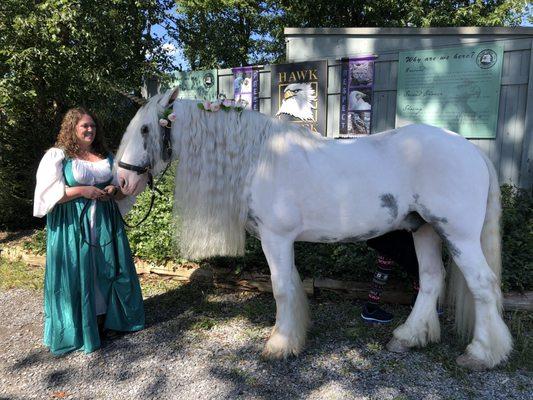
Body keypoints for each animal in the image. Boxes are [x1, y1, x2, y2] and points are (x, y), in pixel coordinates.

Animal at [115, 89, 512, 370]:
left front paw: (279, 345)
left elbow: (281, 289)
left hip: (458, 234)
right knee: (430, 279)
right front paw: (292, 337)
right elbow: (291, 285)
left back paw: (482, 354)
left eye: (146, 129)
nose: (120, 180)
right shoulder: (281, 241)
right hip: (423, 230)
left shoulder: (277, 238)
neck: (260, 160)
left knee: (481, 284)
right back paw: (408, 337)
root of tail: (472, 151)